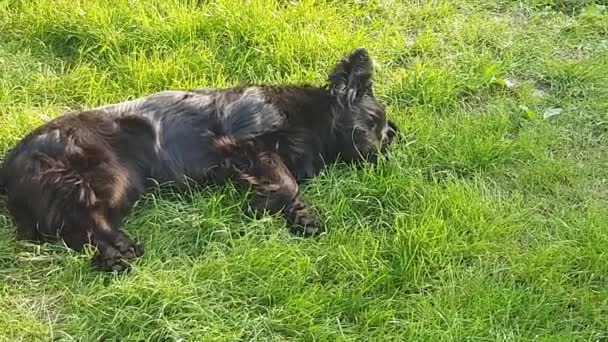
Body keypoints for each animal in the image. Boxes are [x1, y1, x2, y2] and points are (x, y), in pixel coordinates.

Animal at [0, 48, 396, 272]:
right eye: (374, 122)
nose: (383, 158)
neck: (307, 118)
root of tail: (10, 163)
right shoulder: (245, 143)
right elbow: (285, 181)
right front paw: (305, 217)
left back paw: (116, 252)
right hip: (107, 176)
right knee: (80, 223)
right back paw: (118, 254)